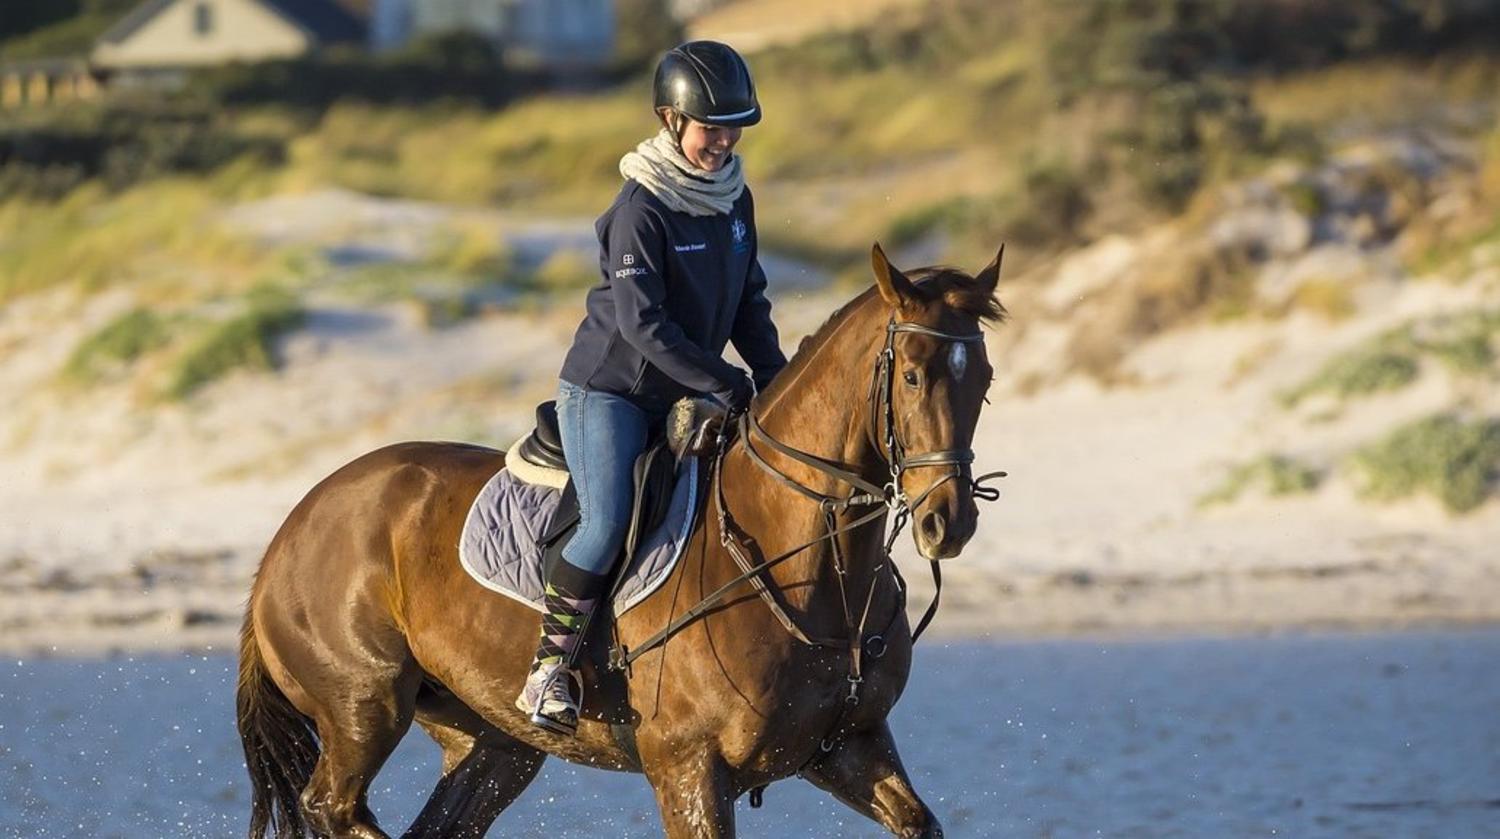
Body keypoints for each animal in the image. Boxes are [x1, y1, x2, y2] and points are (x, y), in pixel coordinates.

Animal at [236, 242, 1006, 839]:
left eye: (985, 380)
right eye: (913, 376)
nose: (949, 522)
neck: (813, 571)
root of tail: (290, 528)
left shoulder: (849, 747)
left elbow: (919, 822)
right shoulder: (689, 769)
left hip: (493, 743)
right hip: (362, 706)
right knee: (333, 806)